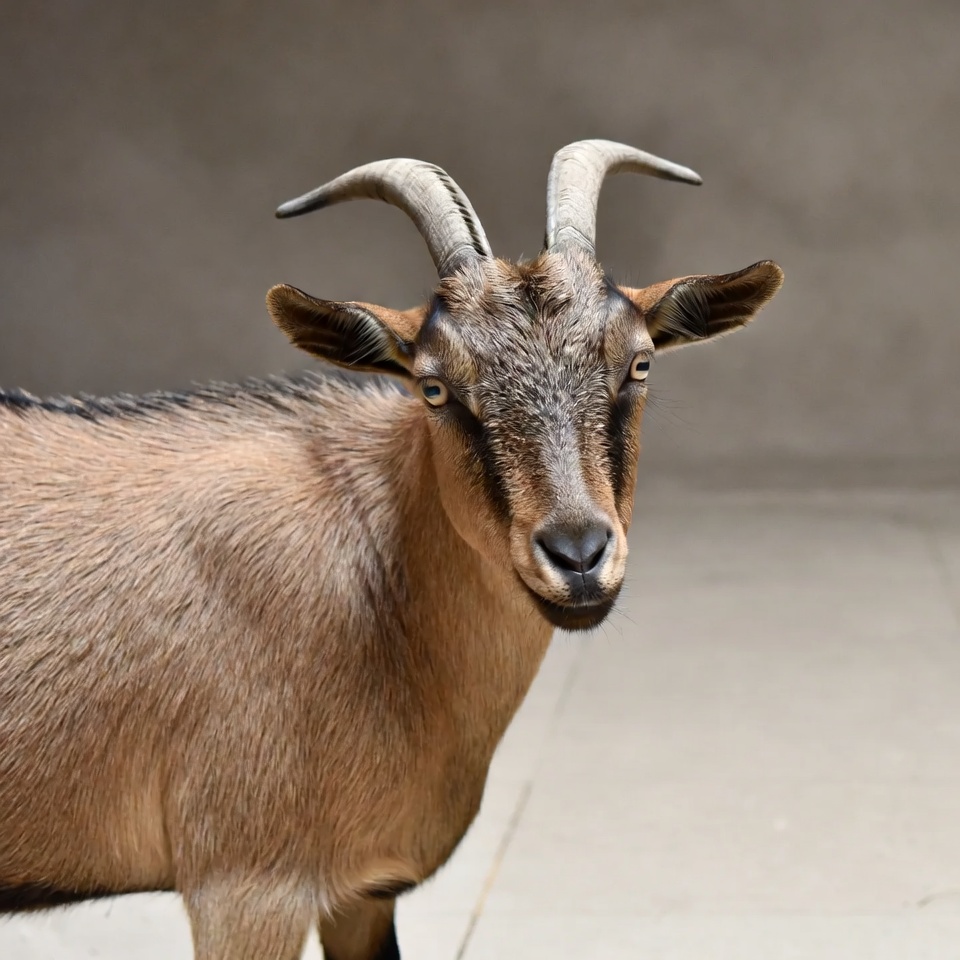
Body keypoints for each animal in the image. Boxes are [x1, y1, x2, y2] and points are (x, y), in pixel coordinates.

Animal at [0, 140, 783, 959]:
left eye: (639, 362)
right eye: (434, 388)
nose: (577, 553)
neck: (381, 602)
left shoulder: (363, 892)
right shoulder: (244, 886)